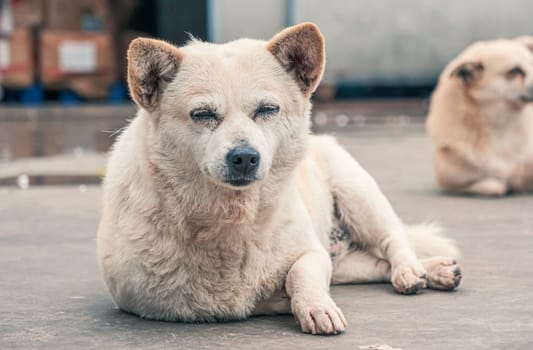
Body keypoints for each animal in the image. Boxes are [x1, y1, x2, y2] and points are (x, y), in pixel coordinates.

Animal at [96, 23, 462, 334]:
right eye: (203, 114)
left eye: (267, 109)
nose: (244, 157)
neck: (232, 217)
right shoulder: (147, 298)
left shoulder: (312, 254)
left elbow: (298, 275)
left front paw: (316, 307)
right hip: (345, 258)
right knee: (375, 263)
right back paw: (439, 270)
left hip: (359, 194)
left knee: (392, 241)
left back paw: (413, 271)